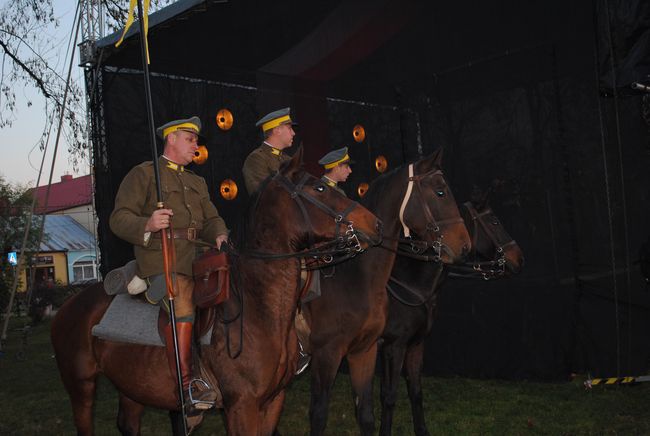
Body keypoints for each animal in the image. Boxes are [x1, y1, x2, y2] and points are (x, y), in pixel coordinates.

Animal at [53, 148, 382, 434]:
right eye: (320, 188)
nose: (375, 224)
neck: (259, 307)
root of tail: (68, 306)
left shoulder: (273, 401)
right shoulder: (242, 406)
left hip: (133, 387)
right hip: (81, 388)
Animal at [378, 198, 524, 436]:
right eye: (494, 221)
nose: (519, 259)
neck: (410, 285)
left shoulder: (413, 344)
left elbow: (414, 391)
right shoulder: (395, 346)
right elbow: (389, 396)